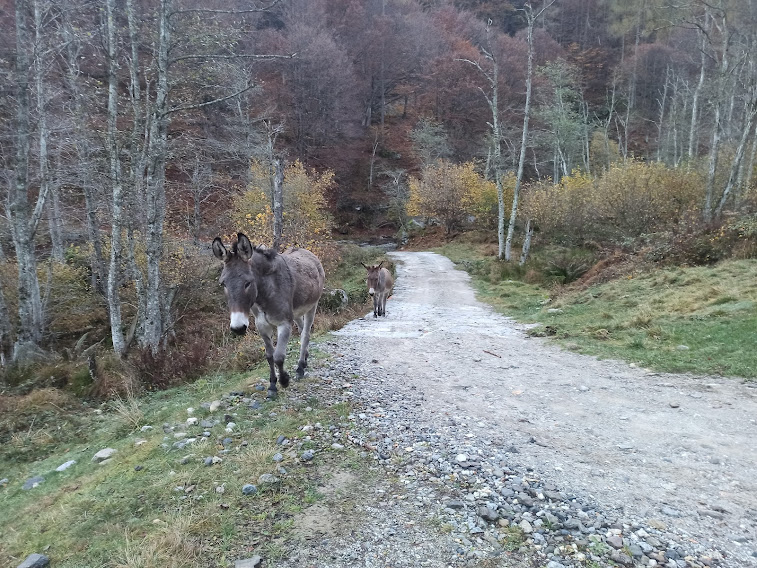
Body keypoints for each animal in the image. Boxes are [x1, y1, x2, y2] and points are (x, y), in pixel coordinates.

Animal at [212, 233, 325, 398]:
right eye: (223, 284)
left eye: (248, 283)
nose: (238, 328)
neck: (264, 295)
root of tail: (307, 252)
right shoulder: (262, 326)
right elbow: (269, 356)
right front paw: (272, 386)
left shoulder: (284, 324)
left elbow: (279, 356)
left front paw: (284, 380)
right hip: (296, 312)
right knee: (302, 329)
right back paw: (304, 360)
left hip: (312, 306)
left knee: (305, 334)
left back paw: (300, 368)